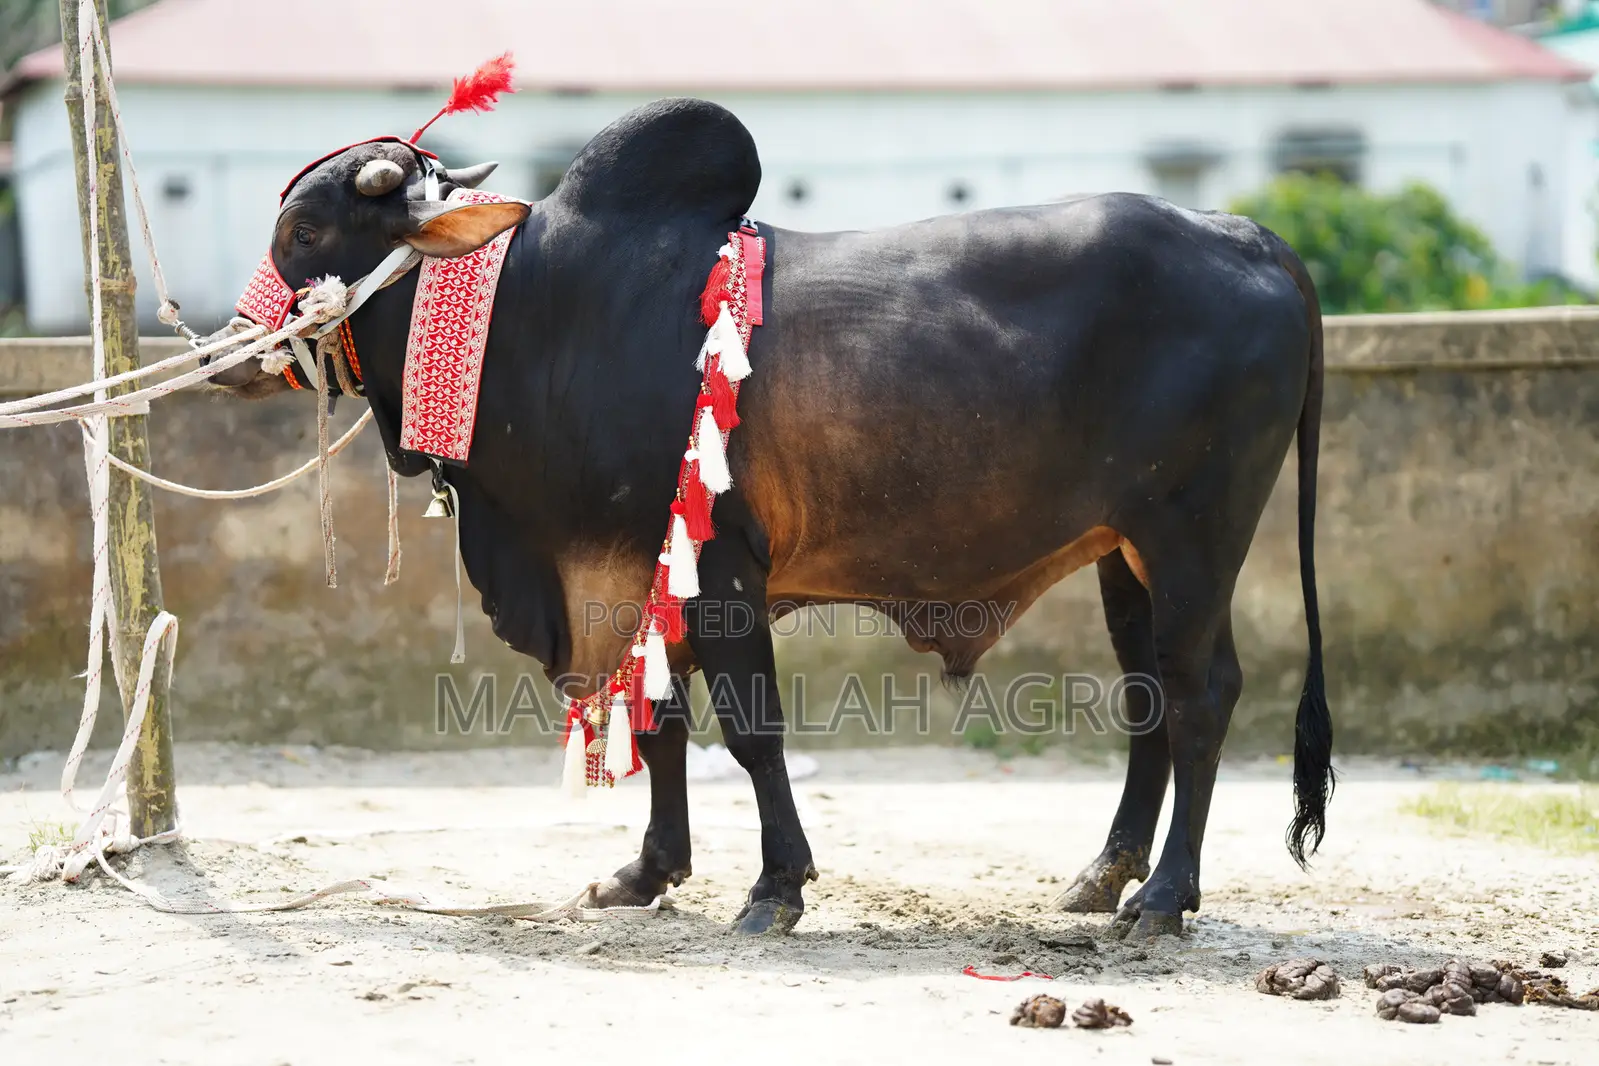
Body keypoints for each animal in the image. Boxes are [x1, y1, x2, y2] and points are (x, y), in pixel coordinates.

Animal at [205, 98, 1334, 938]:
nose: (220, 354)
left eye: (306, 230)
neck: (541, 315)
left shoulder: (719, 567)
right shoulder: (632, 574)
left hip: (1194, 537)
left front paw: (773, 888)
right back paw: (1104, 876)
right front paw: (644, 874)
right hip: (1122, 554)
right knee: (1149, 698)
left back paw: (1163, 899)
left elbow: (749, 730)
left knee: (1200, 695)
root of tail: (1243, 233)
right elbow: (660, 722)